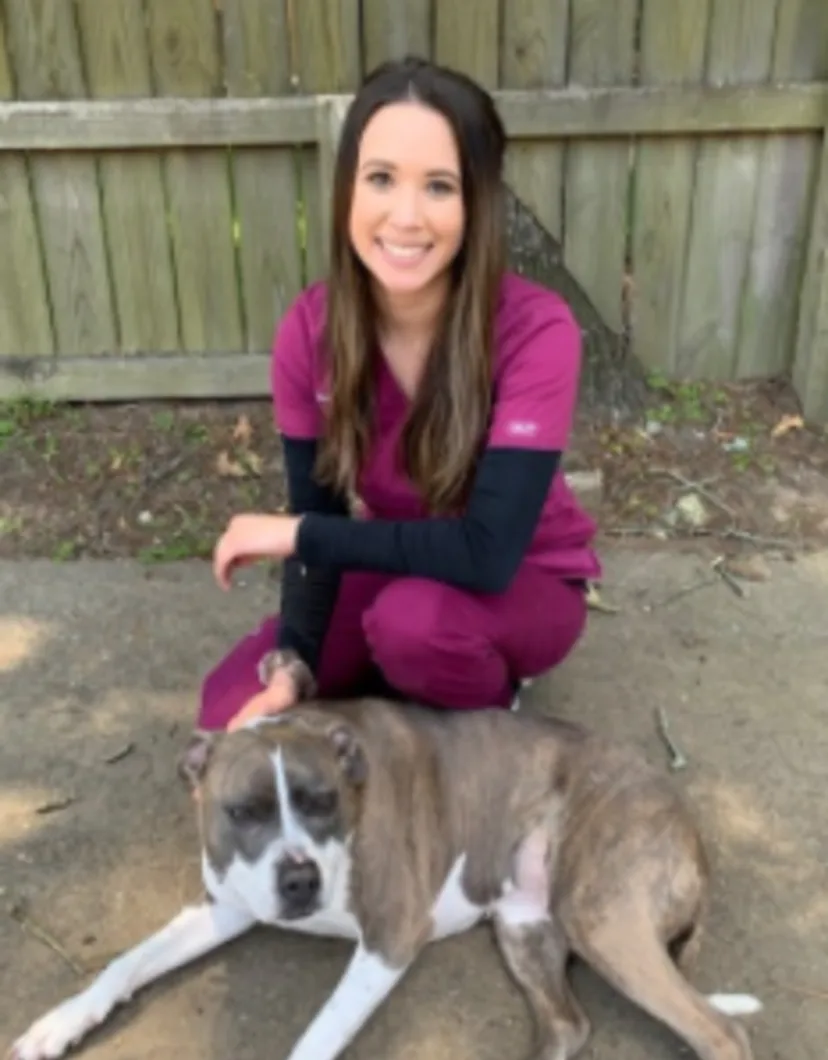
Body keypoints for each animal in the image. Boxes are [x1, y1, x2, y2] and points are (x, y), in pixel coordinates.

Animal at [9, 695, 759, 1060]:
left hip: (602, 916)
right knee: (568, 1026)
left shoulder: (392, 937)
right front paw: (58, 1025)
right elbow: (125, 964)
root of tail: (687, 819)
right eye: (244, 811)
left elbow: (315, 1038)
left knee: (720, 1033)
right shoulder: (227, 905)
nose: (300, 882)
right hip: (526, 926)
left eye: (321, 801)